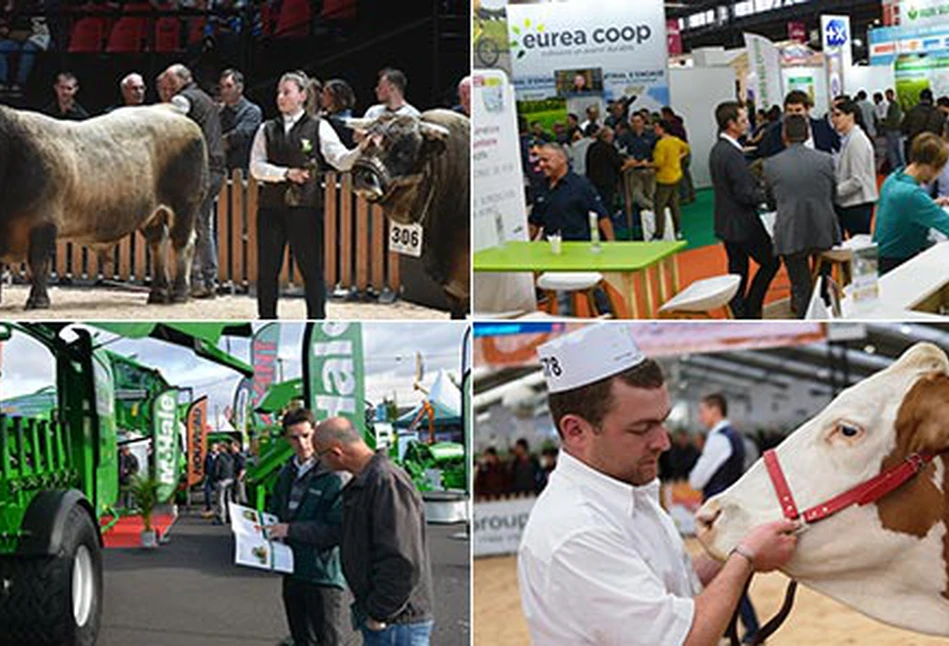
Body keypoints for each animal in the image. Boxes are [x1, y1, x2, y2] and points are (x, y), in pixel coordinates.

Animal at [0, 103, 206, 308]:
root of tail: (169, 109)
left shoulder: (43, 221)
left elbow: (38, 260)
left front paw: (38, 300)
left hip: (186, 205)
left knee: (183, 244)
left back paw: (179, 293)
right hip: (153, 216)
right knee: (157, 244)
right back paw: (158, 293)